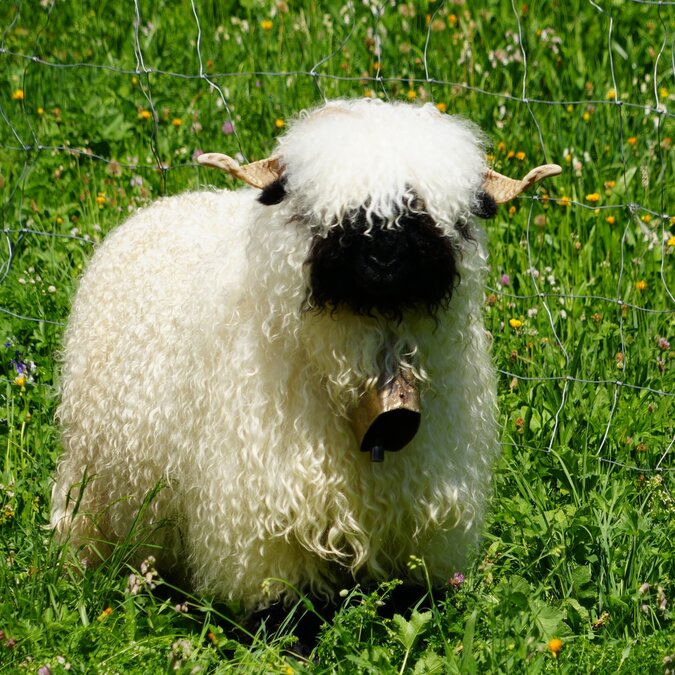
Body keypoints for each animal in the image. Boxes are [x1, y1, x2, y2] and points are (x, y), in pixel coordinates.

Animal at [51, 99, 560, 612]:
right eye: (323, 212)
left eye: (427, 210)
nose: (385, 257)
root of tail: (168, 202)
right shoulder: (264, 501)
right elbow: (281, 599)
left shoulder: (421, 502)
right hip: (98, 473)